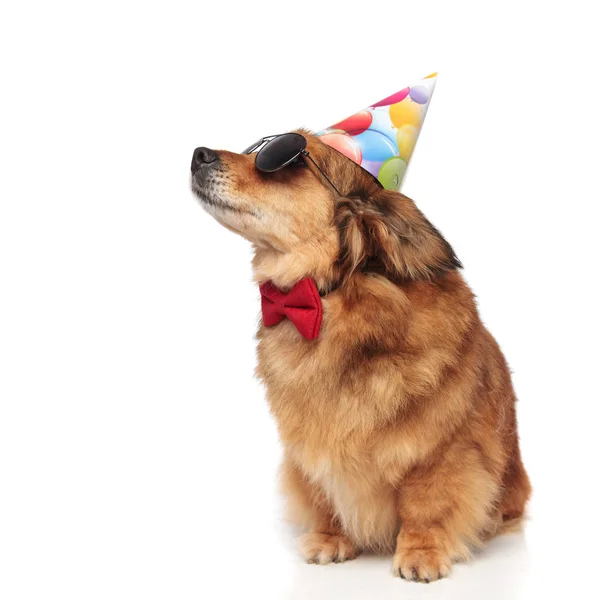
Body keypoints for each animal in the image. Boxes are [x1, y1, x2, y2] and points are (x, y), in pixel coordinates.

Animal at [191, 130, 528, 580]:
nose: (199, 155)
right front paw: (331, 539)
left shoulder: (441, 451)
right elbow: (324, 497)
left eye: (290, 161)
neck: (332, 299)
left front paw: (421, 553)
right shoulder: (310, 449)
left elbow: (427, 504)